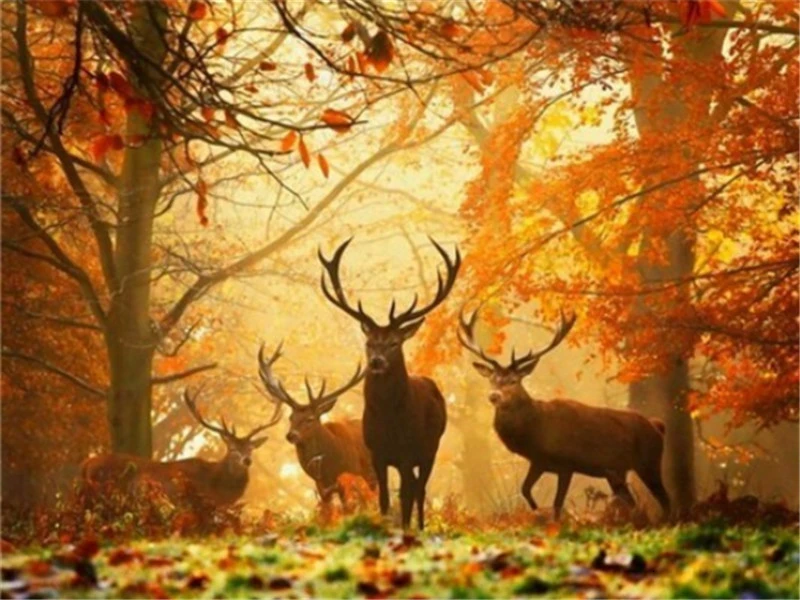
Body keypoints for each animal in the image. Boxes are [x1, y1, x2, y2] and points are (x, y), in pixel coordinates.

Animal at [319, 237, 460, 530]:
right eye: (369, 342)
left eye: (395, 342)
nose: (376, 361)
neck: (389, 421)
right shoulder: (377, 453)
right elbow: (384, 498)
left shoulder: (407, 451)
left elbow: (405, 496)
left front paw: (405, 529)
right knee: (415, 487)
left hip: (431, 447)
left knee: (420, 489)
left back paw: (420, 527)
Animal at [458, 308, 671, 520]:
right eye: (492, 379)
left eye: (513, 380)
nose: (494, 396)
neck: (536, 432)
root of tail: (657, 425)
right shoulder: (539, 461)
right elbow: (525, 489)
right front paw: (537, 512)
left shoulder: (567, 463)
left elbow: (557, 504)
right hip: (617, 471)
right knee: (631, 501)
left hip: (649, 462)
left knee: (665, 499)